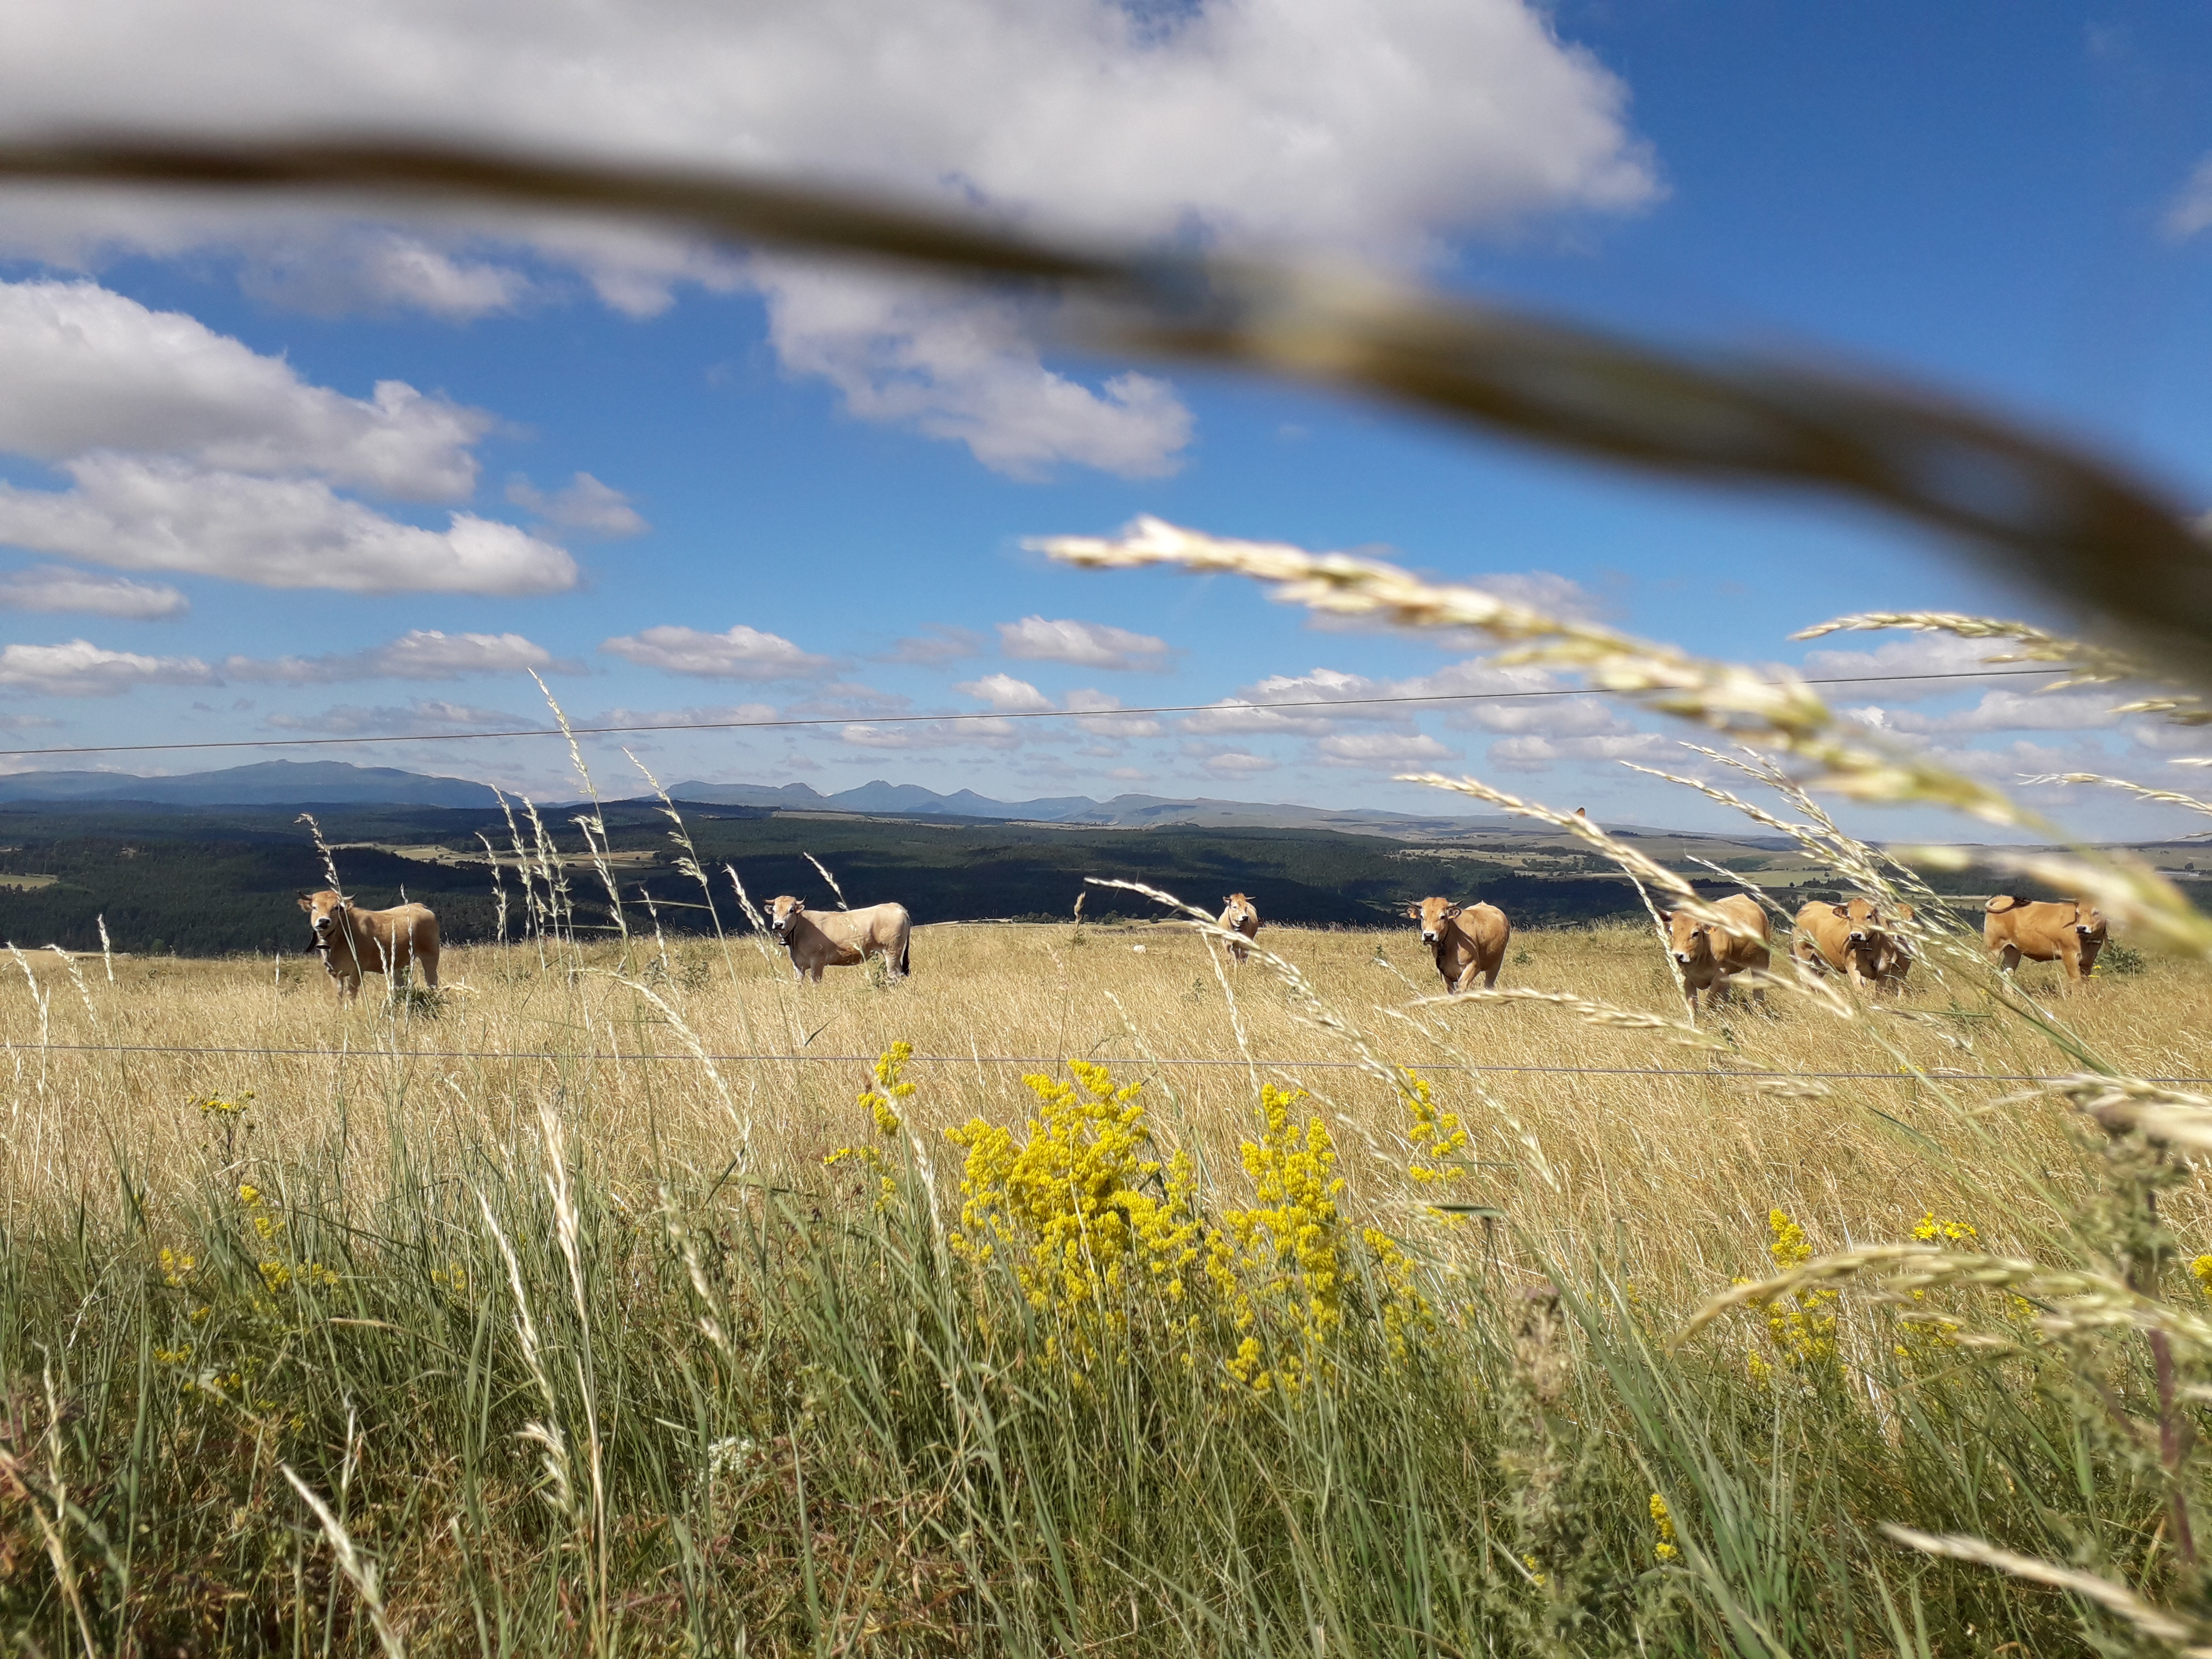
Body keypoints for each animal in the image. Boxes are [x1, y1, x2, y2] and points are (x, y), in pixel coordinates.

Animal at [301, 889, 442, 1008]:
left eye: (336, 908)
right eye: (315, 907)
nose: (324, 921)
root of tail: (418, 906)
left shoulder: (357, 969)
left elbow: (351, 994)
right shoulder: (334, 972)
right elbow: (338, 996)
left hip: (431, 955)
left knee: (432, 981)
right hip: (398, 963)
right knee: (400, 985)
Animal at [765, 898, 911, 987]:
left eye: (791, 910)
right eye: (774, 911)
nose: (778, 924)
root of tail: (894, 906)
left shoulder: (817, 961)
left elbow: (815, 983)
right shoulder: (798, 965)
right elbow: (798, 984)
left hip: (891, 950)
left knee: (894, 974)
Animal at [1407, 902, 1513, 995]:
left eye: (1443, 917)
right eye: (1422, 916)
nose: (1429, 936)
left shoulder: (1473, 965)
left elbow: (1461, 988)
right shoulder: (1445, 973)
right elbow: (1451, 991)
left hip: (1495, 964)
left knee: (1489, 984)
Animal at [1663, 898, 1769, 1013]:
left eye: (1696, 933)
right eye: (1671, 932)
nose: (1678, 956)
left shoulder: (1720, 973)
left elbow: (1709, 1000)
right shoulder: (1685, 977)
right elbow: (1693, 1007)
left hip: (1761, 961)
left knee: (1758, 991)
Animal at [1991, 898, 2105, 987]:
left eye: (2096, 912)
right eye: (2077, 913)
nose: (2081, 928)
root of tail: (2005, 898)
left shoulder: (2088, 961)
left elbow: (2086, 983)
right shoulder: (2070, 957)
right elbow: (2076, 982)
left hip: (2013, 950)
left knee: (2007, 973)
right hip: (1994, 947)